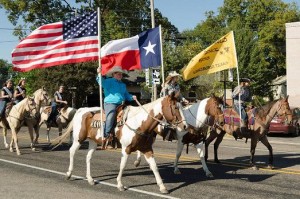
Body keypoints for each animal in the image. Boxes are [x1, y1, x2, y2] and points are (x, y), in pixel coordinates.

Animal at [55, 95, 188, 194]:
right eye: (175, 107)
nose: (185, 126)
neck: (138, 123)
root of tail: (81, 110)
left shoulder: (147, 149)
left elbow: (154, 167)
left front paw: (162, 187)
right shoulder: (126, 149)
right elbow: (122, 166)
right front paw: (120, 184)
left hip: (93, 141)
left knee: (88, 157)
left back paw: (90, 179)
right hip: (79, 139)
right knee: (72, 151)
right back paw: (69, 174)